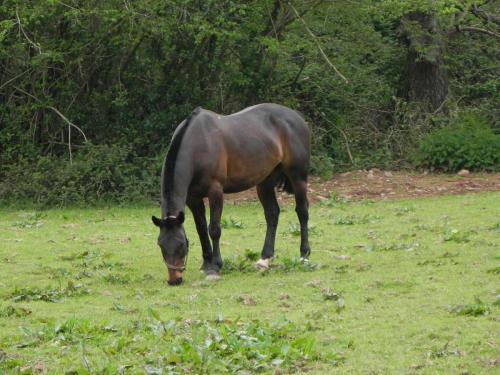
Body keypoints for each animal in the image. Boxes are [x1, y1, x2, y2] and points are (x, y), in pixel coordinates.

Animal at [150, 103, 310, 284]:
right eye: (161, 244)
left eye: (181, 244)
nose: (174, 280)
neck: (198, 144)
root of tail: (296, 116)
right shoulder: (193, 198)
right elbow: (201, 229)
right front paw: (206, 263)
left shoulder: (215, 192)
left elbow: (214, 229)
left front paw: (215, 266)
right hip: (265, 183)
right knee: (272, 214)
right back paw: (265, 258)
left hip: (298, 177)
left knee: (302, 212)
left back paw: (304, 255)